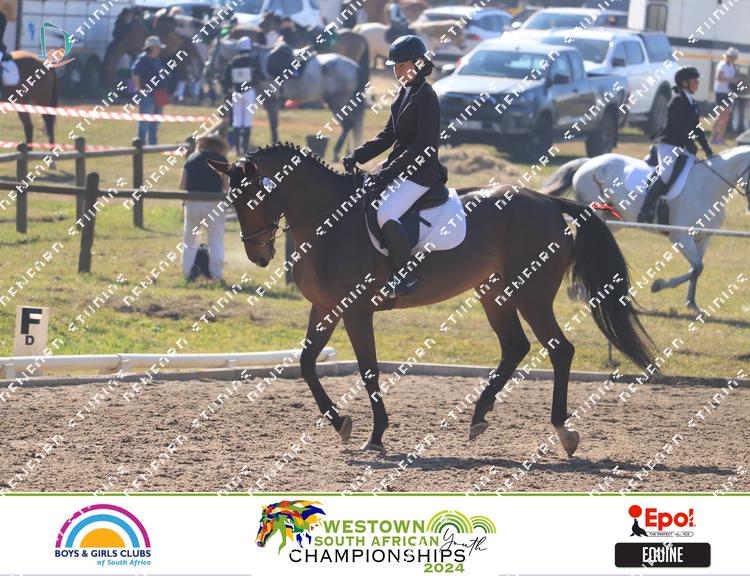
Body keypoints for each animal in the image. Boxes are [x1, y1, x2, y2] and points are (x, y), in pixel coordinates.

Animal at [204, 41, 366, 160]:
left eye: (212, 52)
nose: (206, 71)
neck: (257, 61)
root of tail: (355, 66)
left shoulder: (271, 102)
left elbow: (273, 124)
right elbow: (274, 124)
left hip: (337, 102)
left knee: (347, 125)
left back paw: (336, 152)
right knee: (351, 126)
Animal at [207, 143, 654, 457]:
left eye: (254, 198)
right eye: (232, 200)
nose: (258, 255)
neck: (328, 220)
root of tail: (548, 201)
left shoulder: (356, 312)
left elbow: (368, 371)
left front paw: (375, 435)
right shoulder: (325, 309)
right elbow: (305, 363)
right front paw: (341, 423)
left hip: (532, 296)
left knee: (559, 349)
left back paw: (563, 431)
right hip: (494, 293)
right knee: (515, 347)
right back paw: (478, 418)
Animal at [542, 146, 750, 311]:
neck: (707, 187)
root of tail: (588, 162)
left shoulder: (703, 238)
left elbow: (696, 269)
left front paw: (691, 303)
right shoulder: (680, 236)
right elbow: (697, 267)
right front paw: (657, 285)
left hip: (611, 219)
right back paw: (579, 289)